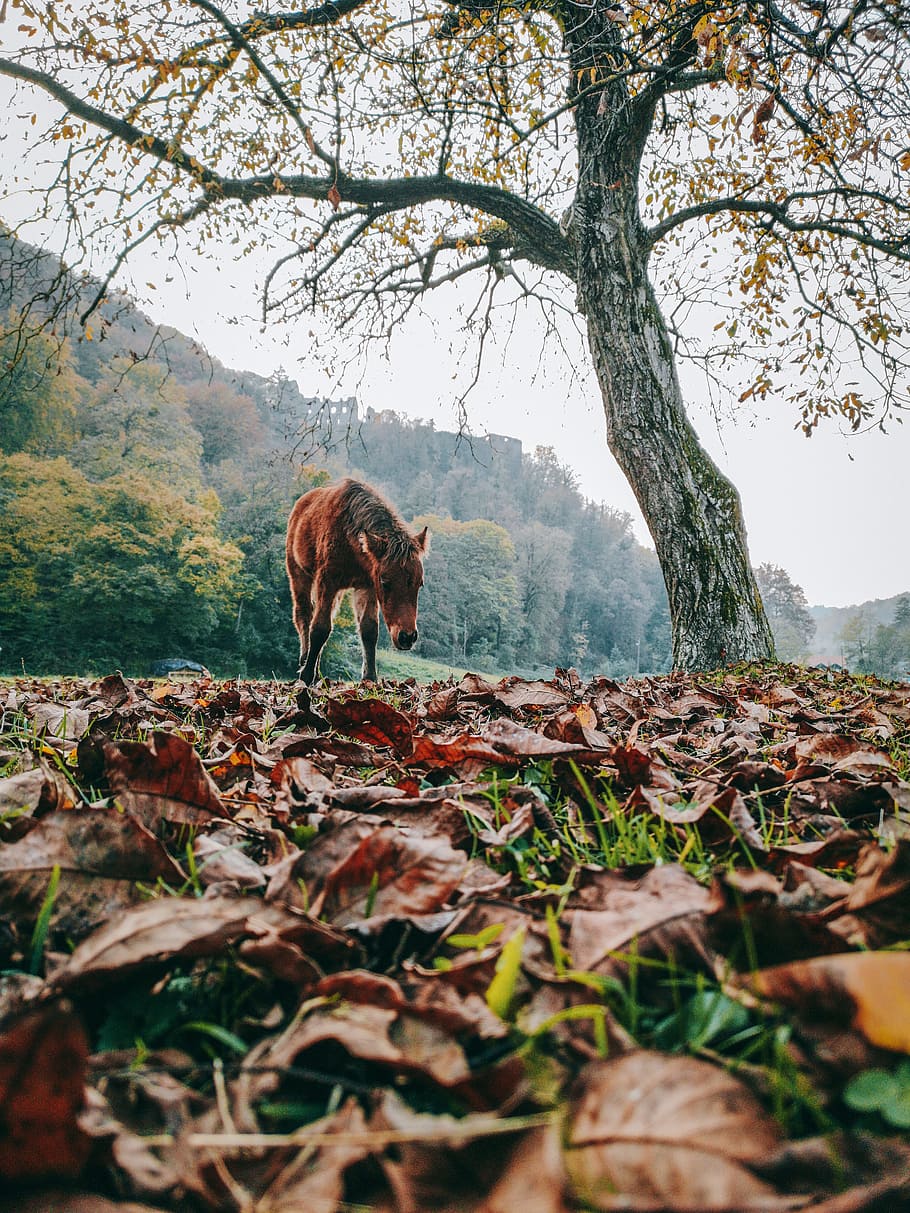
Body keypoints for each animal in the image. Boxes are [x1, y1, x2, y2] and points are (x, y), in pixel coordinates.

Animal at [285, 478, 429, 683]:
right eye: (385, 583)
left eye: (419, 584)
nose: (407, 637)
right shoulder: (327, 581)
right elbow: (320, 628)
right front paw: (306, 676)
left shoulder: (366, 586)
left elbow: (369, 631)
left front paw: (370, 678)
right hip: (299, 574)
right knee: (304, 614)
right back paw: (305, 661)